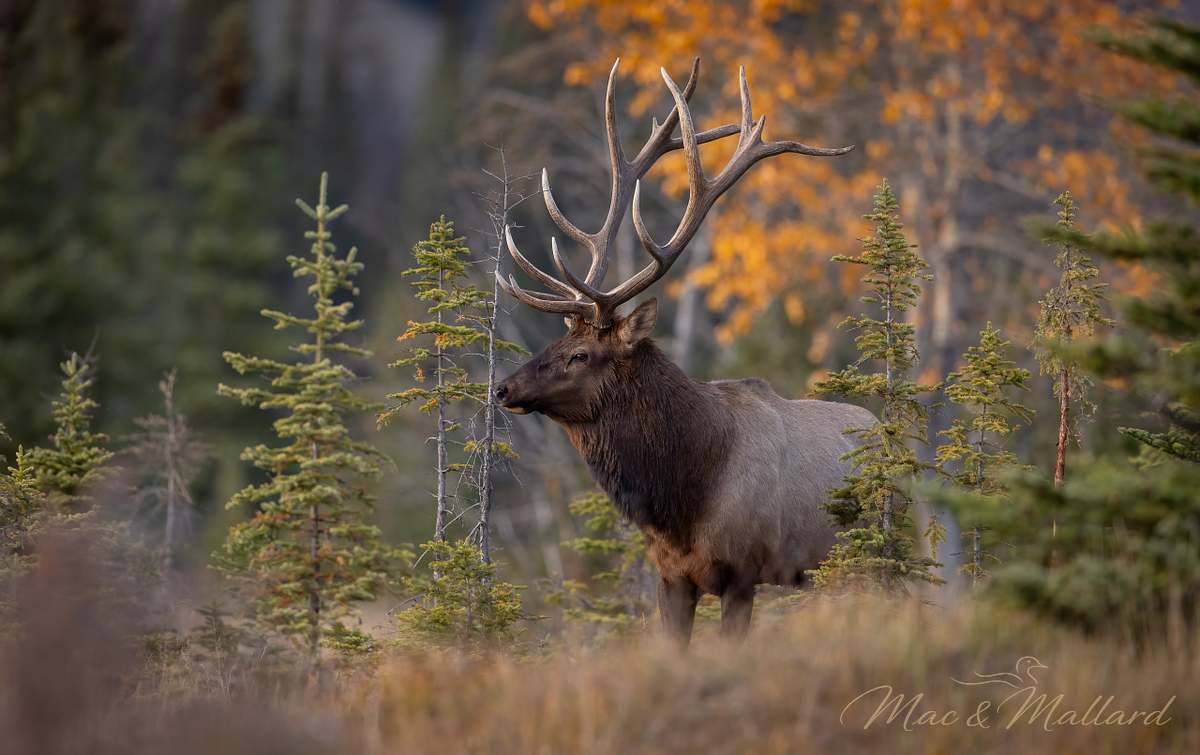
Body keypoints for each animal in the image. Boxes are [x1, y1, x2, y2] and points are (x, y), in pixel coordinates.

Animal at [494, 58, 872, 645]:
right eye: (558, 340)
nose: (504, 387)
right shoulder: (670, 577)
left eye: (581, 355)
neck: (682, 501)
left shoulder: (743, 572)